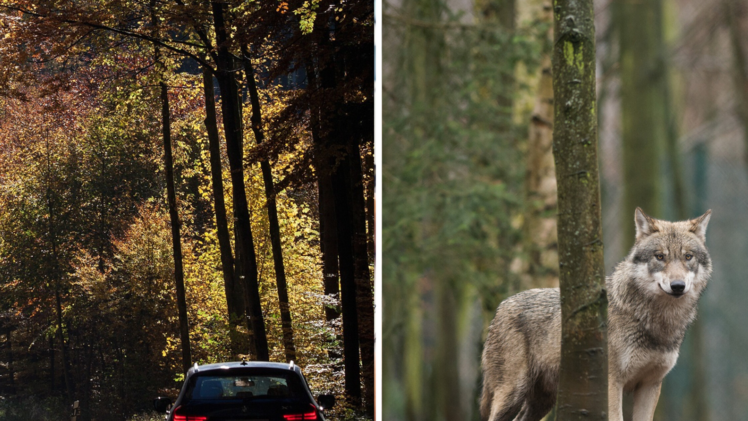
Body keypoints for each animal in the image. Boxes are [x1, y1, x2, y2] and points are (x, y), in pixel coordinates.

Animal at [480, 208, 712, 421]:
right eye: (660, 256)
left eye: (688, 257)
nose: (678, 286)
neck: (655, 321)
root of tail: (501, 307)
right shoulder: (612, 384)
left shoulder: (650, 385)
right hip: (512, 394)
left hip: (542, 401)